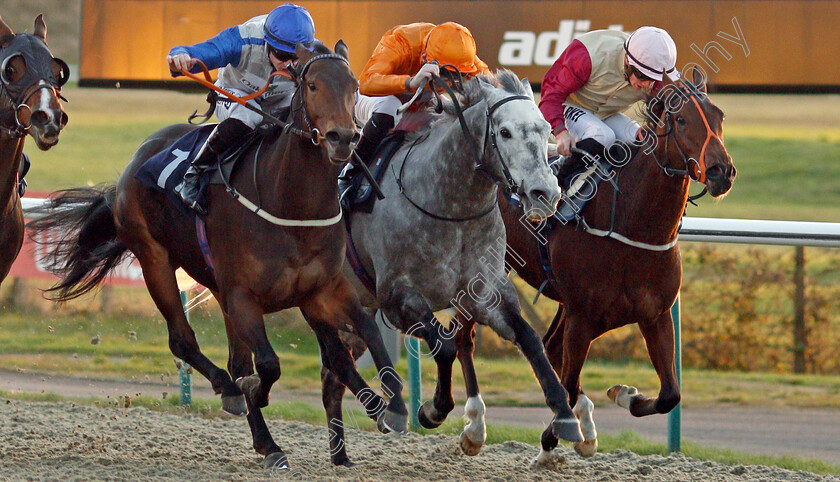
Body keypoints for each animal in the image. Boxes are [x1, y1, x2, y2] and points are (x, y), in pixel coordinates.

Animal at [27, 41, 406, 470]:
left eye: (354, 84)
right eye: (312, 85)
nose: (343, 137)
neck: (291, 205)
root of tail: (133, 164)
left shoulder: (321, 290)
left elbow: (364, 336)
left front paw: (393, 407)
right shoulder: (244, 295)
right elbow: (269, 365)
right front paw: (253, 391)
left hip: (221, 291)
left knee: (267, 358)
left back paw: (272, 438)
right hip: (156, 261)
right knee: (185, 342)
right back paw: (236, 398)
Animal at [322, 69, 584, 466]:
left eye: (544, 129)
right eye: (504, 132)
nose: (545, 193)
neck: (451, 207)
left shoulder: (486, 292)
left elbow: (530, 340)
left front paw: (566, 417)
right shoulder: (397, 299)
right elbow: (444, 346)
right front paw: (432, 410)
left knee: (331, 377)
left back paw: (341, 457)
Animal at [502, 68, 732, 464]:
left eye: (719, 116)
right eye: (682, 120)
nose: (722, 171)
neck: (630, 224)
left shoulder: (654, 314)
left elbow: (670, 394)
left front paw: (624, 395)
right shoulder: (583, 318)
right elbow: (569, 381)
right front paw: (553, 439)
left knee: (549, 347)